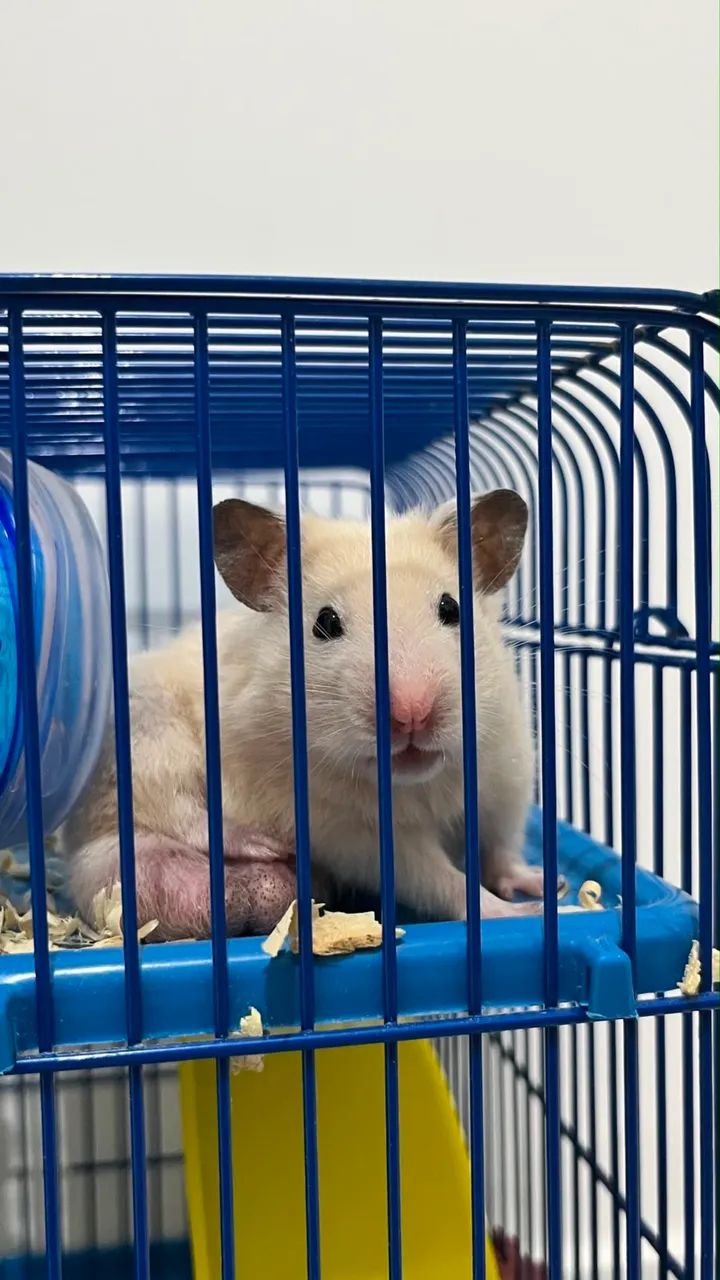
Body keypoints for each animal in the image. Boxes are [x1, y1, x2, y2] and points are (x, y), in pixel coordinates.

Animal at [61, 489, 543, 941]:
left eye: (450, 608)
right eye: (325, 623)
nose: (412, 716)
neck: (419, 783)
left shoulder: (507, 779)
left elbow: (503, 849)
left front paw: (540, 886)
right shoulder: (361, 836)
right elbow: (443, 881)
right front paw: (517, 913)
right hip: (145, 741)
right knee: (182, 812)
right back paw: (262, 843)